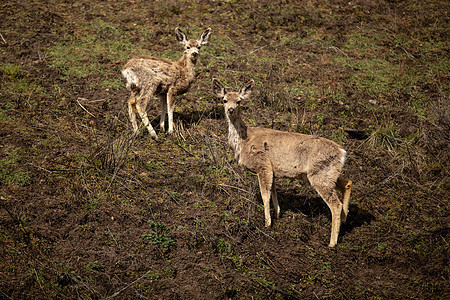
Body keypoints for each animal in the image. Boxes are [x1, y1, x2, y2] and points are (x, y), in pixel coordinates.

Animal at [213, 78, 354, 247]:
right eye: (224, 100)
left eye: (239, 101)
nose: (231, 109)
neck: (243, 142)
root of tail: (342, 152)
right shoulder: (272, 169)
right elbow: (273, 191)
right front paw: (277, 213)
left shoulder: (263, 164)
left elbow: (265, 194)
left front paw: (267, 223)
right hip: (328, 173)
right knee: (348, 183)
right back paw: (345, 220)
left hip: (320, 174)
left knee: (335, 204)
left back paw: (332, 242)